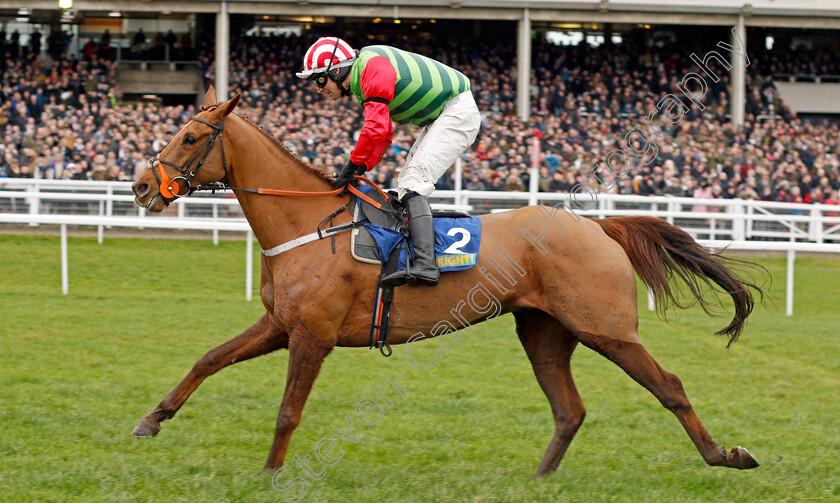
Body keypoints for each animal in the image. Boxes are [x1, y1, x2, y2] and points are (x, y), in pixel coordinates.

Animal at [130, 88, 760, 478]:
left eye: (191, 138)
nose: (140, 187)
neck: (306, 223)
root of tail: (596, 225)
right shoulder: (280, 324)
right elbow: (209, 359)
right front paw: (151, 420)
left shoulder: (312, 335)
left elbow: (288, 410)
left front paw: (269, 472)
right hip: (544, 332)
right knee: (569, 409)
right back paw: (538, 479)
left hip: (606, 327)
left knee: (668, 386)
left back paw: (725, 455)